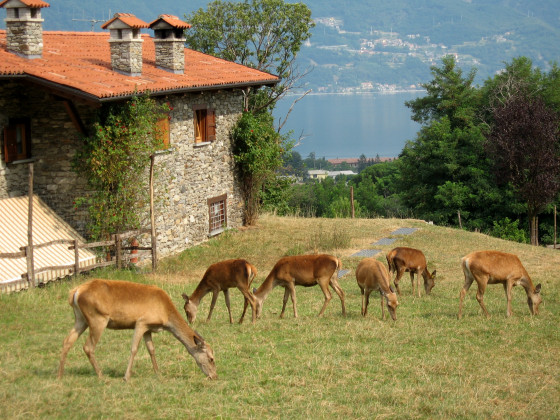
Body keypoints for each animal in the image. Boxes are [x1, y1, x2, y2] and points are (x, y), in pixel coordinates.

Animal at [57, 278, 218, 380]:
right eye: (211, 358)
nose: (214, 376)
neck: (165, 315)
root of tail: (75, 292)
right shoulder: (141, 322)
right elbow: (134, 348)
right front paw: (126, 377)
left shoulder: (149, 328)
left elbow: (151, 349)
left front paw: (158, 373)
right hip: (97, 318)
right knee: (88, 346)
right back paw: (101, 375)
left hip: (80, 318)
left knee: (67, 341)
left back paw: (60, 375)